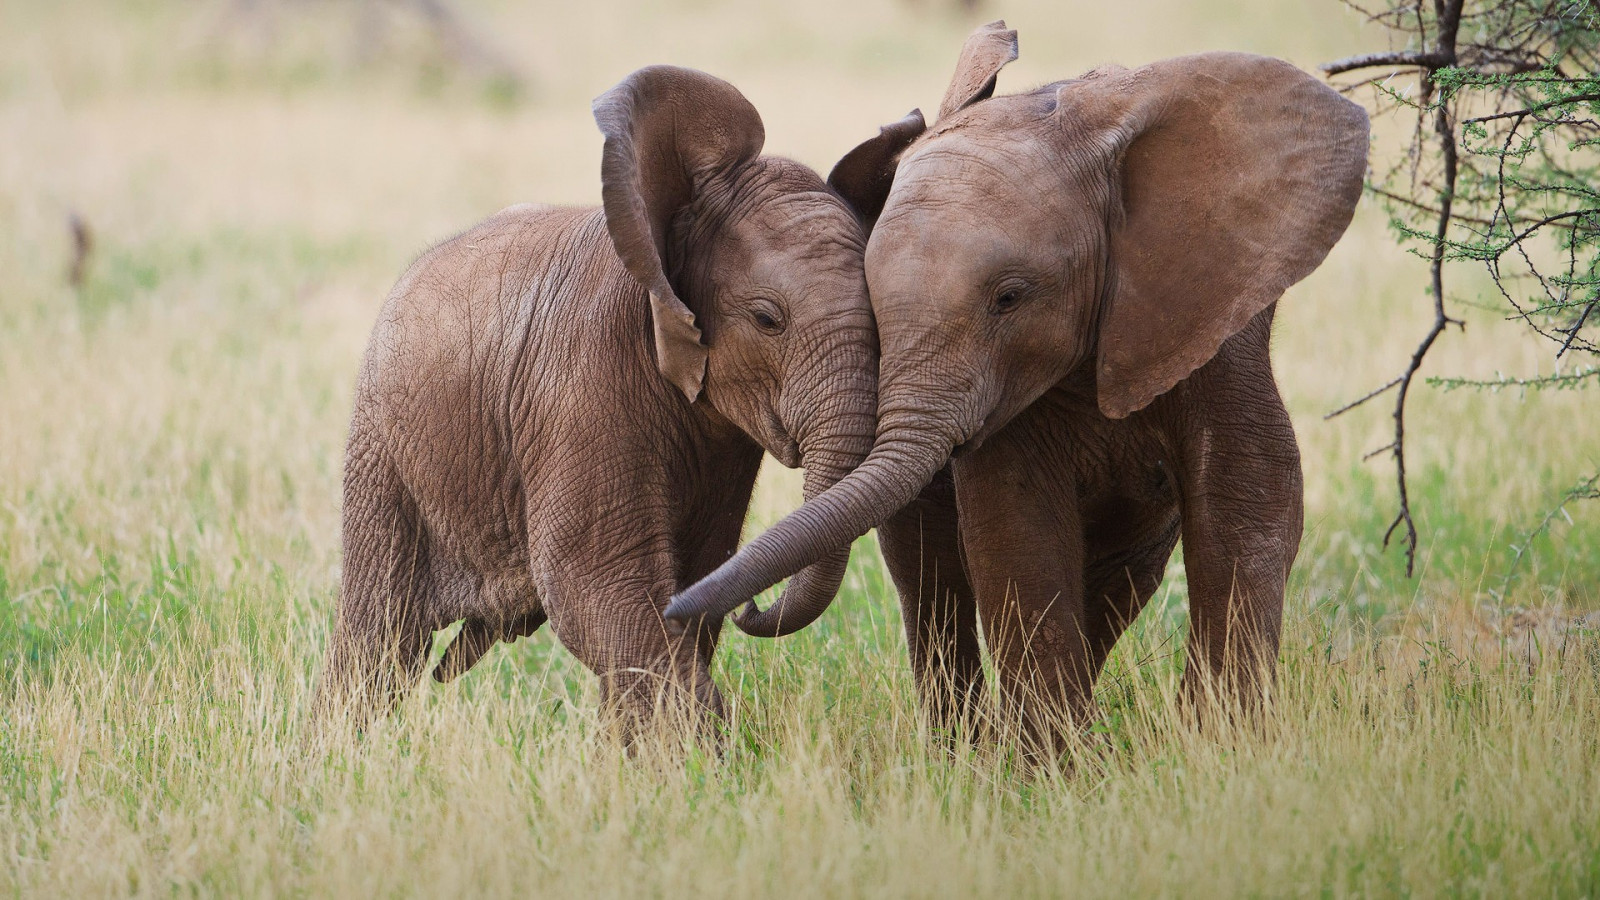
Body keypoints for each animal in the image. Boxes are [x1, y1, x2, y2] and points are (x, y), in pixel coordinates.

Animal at [315, 65, 879, 738]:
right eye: (768, 320)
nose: (755, 607)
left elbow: (691, 582)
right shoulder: (583, 386)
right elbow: (598, 591)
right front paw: (708, 755)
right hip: (385, 448)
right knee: (381, 635)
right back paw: (334, 751)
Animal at [667, 23, 1369, 752]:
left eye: (1010, 298)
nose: (731, 606)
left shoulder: (1215, 313)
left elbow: (1249, 493)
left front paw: (1219, 745)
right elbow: (1016, 523)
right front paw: (1055, 766)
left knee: (1122, 575)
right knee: (930, 571)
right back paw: (965, 749)